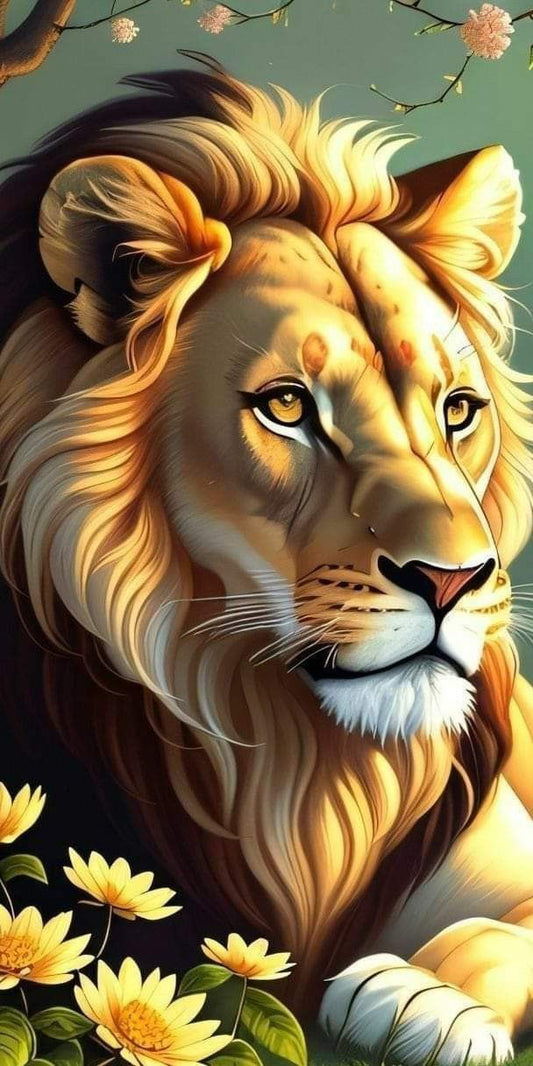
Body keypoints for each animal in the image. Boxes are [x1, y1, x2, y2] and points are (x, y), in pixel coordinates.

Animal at [1, 63, 533, 1065]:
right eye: (286, 406)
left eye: (457, 409)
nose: (454, 581)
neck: (302, 774)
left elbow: (498, 932)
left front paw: (430, 994)